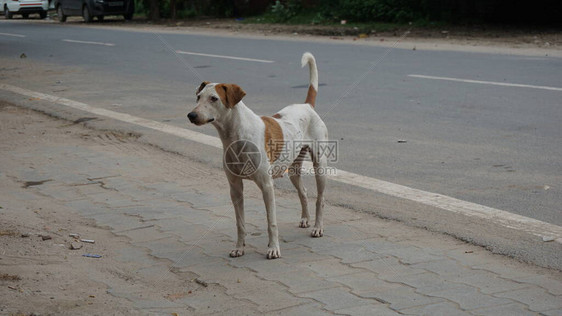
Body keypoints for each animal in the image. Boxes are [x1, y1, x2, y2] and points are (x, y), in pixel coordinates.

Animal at [188, 52, 328, 260]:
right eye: (198, 97)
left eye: (214, 98)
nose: (191, 115)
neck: (236, 136)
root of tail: (307, 106)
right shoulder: (235, 188)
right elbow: (240, 223)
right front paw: (239, 247)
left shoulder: (267, 186)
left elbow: (271, 222)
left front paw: (273, 248)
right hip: (293, 169)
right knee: (303, 192)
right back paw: (305, 219)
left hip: (320, 165)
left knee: (320, 198)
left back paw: (318, 227)